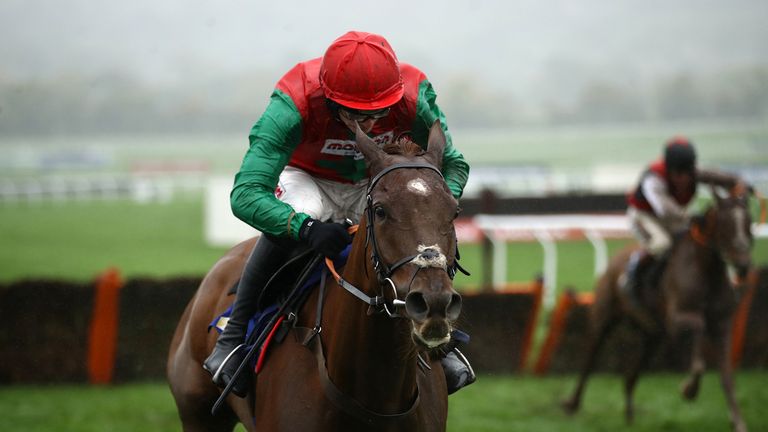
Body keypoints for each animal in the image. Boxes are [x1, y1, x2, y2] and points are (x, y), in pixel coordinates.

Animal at [560, 187, 752, 432]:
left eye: (748, 222)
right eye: (725, 224)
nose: (743, 265)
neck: (706, 270)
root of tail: (615, 261)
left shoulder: (722, 325)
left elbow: (727, 375)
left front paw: (738, 421)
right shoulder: (678, 318)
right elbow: (698, 339)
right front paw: (689, 389)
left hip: (653, 334)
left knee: (631, 375)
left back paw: (630, 416)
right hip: (604, 318)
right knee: (589, 359)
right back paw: (571, 404)